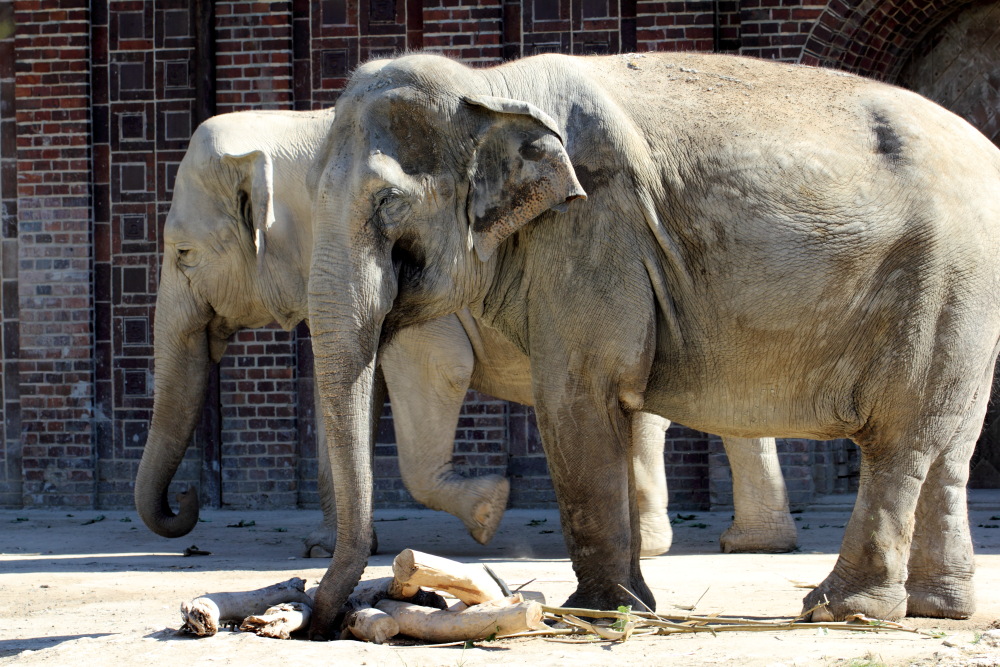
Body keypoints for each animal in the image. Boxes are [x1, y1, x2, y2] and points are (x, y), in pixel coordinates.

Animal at [137, 108, 800, 560]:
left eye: (184, 254)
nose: (187, 500)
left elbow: (432, 369)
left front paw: (488, 511)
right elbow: (354, 392)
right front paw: (332, 547)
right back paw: (743, 544)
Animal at [304, 51, 1000, 636]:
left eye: (389, 204)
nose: (325, 623)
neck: (490, 85)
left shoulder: (591, 232)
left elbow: (578, 397)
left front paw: (599, 612)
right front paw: (627, 607)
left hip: (940, 280)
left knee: (900, 441)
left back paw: (843, 610)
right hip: (970, 304)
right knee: (950, 448)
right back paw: (938, 610)